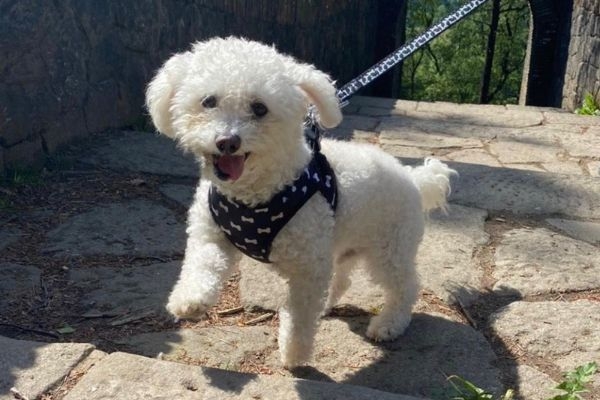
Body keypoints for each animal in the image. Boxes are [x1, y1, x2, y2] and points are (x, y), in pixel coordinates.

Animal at [145, 37, 454, 368]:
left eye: (260, 108)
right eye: (208, 101)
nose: (227, 142)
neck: (255, 194)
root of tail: (414, 178)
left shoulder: (307, 266)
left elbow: (300, 316)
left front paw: (294, 352)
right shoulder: (210, 234)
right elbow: (203, 262)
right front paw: (190, 300)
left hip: (390, 248)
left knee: (404, 286)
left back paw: (388, 324)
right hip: (341, 244)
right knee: (341, 280)